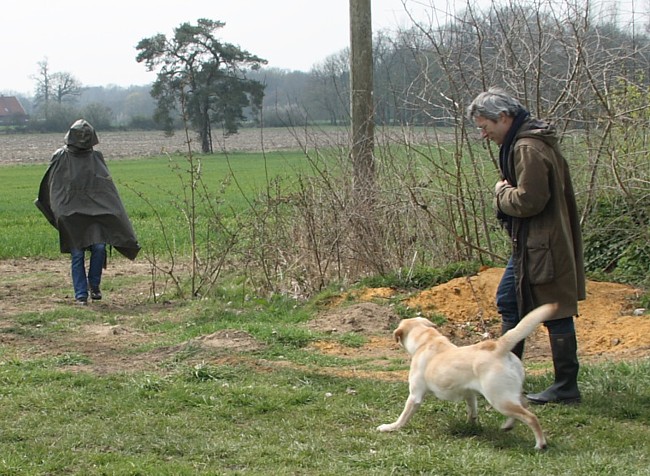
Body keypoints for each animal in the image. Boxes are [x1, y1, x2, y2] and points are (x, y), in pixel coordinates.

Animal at [378, 304, 556, 448]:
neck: (426, 340)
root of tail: (498, 346)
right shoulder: (469, 393)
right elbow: (472, 411)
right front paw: (470, 426)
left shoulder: (415, 395)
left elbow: (404, 416)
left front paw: (391, 427)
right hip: (509, 394)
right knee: (524, 404)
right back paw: (508, 425)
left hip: (499, 398)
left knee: (531, 417)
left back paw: (540, 444)